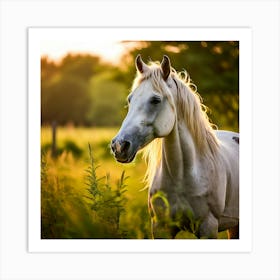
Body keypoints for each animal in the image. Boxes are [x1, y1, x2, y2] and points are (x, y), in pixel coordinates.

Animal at [111, 54, 238, 238]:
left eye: (155, 100)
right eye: (130, 99)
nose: (119, 146)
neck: (182, 176)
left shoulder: (208, 227)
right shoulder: (160, 227)